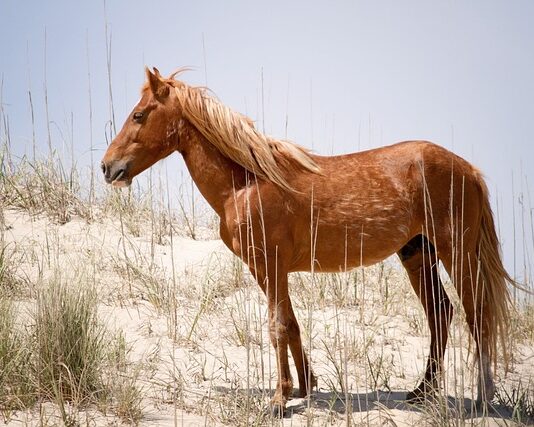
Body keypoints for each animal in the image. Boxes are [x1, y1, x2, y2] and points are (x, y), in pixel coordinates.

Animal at [102, 67, 516, 418]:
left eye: (139, 115)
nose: (108, 167)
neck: (246, 183)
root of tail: (469, 169)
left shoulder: (271, 265)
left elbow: (277, 327)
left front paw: (279, 399)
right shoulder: (268, 269)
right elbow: (291, 323)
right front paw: (304, 386)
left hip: (456, 253)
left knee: (476, 314)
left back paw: (483, 397)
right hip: (417, 254)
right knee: (440, 313)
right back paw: (422, 391)